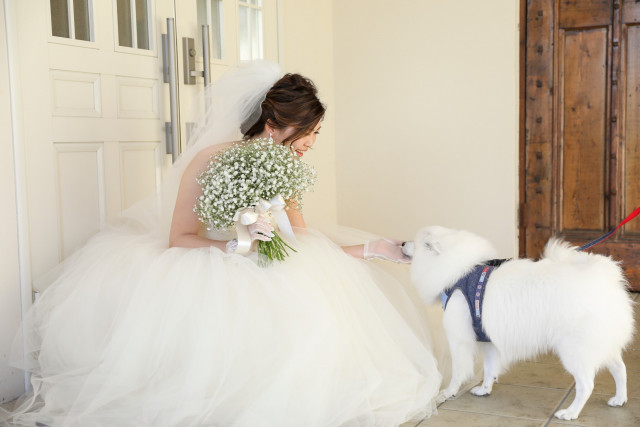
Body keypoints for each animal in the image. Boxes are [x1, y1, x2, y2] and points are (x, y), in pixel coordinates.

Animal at [404, 227, 636, 422]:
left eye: (416, 242)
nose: (402, 243)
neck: (460, 271)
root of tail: (605, 278)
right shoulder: (488, 340)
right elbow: (489, 368)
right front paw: (485, 389)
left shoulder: (459, 339)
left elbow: (458, 371)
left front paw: (449, 392)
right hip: (604, 344)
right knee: (621, 369)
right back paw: (619, 399)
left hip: (575, 350)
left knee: (586, 385)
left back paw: (570, 413)